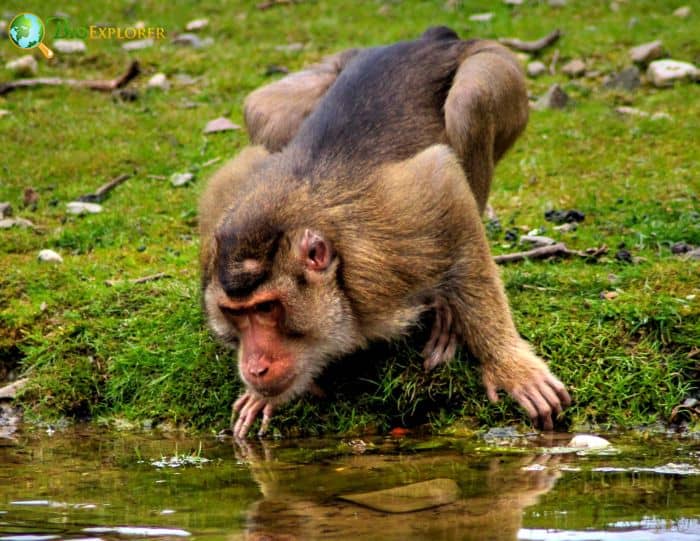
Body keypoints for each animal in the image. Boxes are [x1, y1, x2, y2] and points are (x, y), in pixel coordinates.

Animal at [199, 26, 571, 439]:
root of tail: (432, 39)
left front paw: (508, 363)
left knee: (470, 101)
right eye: (236, 313)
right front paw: (263, 396)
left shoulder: (386, 251)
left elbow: (442, 181)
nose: (254, 367)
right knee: (263, 109)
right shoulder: (224, 207)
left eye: (266, 308)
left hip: (497, 63)